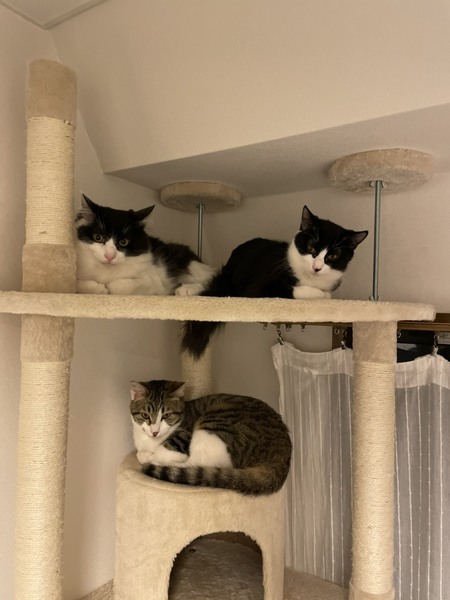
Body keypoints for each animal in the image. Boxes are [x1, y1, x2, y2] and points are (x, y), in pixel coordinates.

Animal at [75, 194, 215, 295]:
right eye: (98, 237)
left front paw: (106, 287)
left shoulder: (153, 281)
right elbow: (79, 283)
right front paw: (99, 288)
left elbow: (118, 285)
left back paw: (185, 289)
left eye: (123, 242)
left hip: (187, 264)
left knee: (208, 281)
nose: (110, 256)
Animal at [130, 379, 292, 496]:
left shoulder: (182, 438)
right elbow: (139, 453)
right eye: (145, 415)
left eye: (166, 415)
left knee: (195, 464)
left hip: (215, 424)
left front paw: (151, 456)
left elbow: (154, 454)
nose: (155, 432)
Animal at [181, 205, 368, 358]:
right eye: (311, 248)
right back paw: (186, 290)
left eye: (333, 256)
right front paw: (318, 294)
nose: (317, 267)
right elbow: (294, 290)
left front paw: (324, 293)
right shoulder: (258, 287)